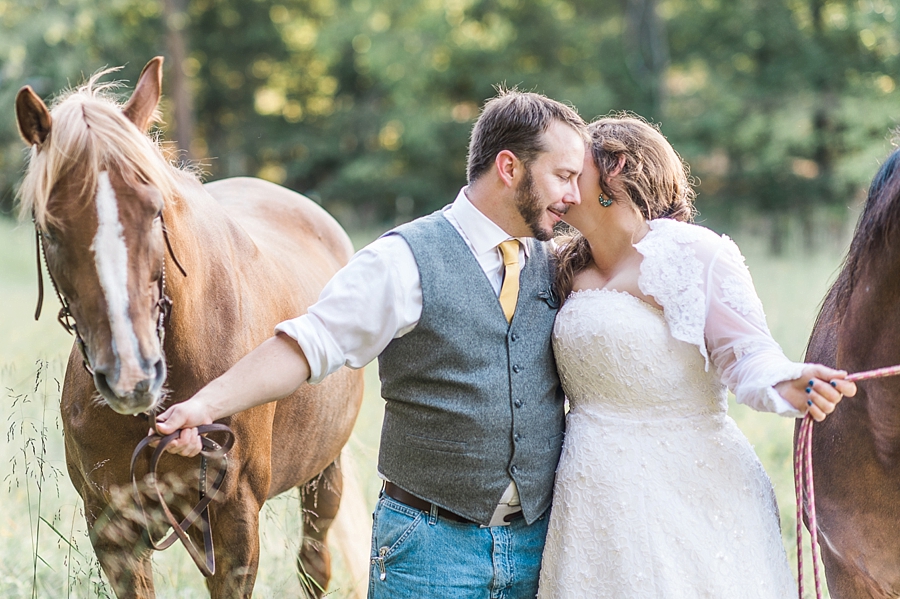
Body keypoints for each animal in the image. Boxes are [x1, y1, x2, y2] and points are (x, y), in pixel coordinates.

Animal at [14, 57, 366, 599]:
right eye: (49, 227)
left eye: (154, 209)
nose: (132, 376)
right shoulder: (114, 529)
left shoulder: (233, 525)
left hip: (323, 477)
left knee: (314, 566)